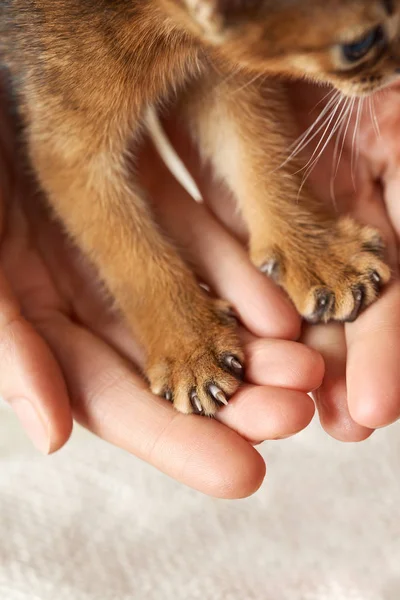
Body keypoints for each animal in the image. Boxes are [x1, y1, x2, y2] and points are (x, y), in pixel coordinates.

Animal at [0, 0, 394, 414]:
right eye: (359, 44)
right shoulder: (66, 145)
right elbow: (128, 253)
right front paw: (190, 352)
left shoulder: (223, 68)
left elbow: (256, 149)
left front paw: (322, 258)